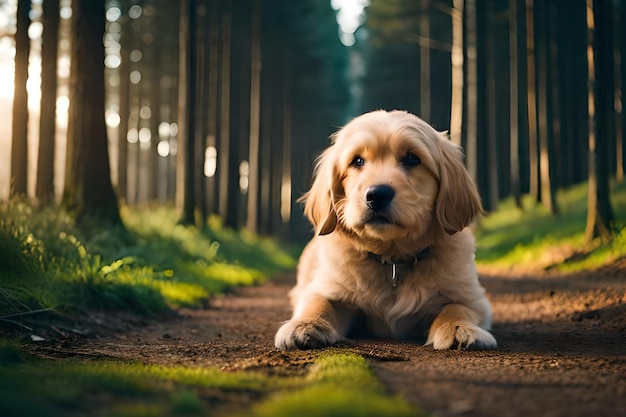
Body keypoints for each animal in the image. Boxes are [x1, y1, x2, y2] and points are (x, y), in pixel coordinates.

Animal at [276, 109, 494, 350]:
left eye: (412, 158)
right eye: (357, 161)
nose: (376, 195)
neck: (393, 261)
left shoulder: (471, 297)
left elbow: (456, 308)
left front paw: (459, 329)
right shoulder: (327, 286)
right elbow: (319, 302)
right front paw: (305, 325)